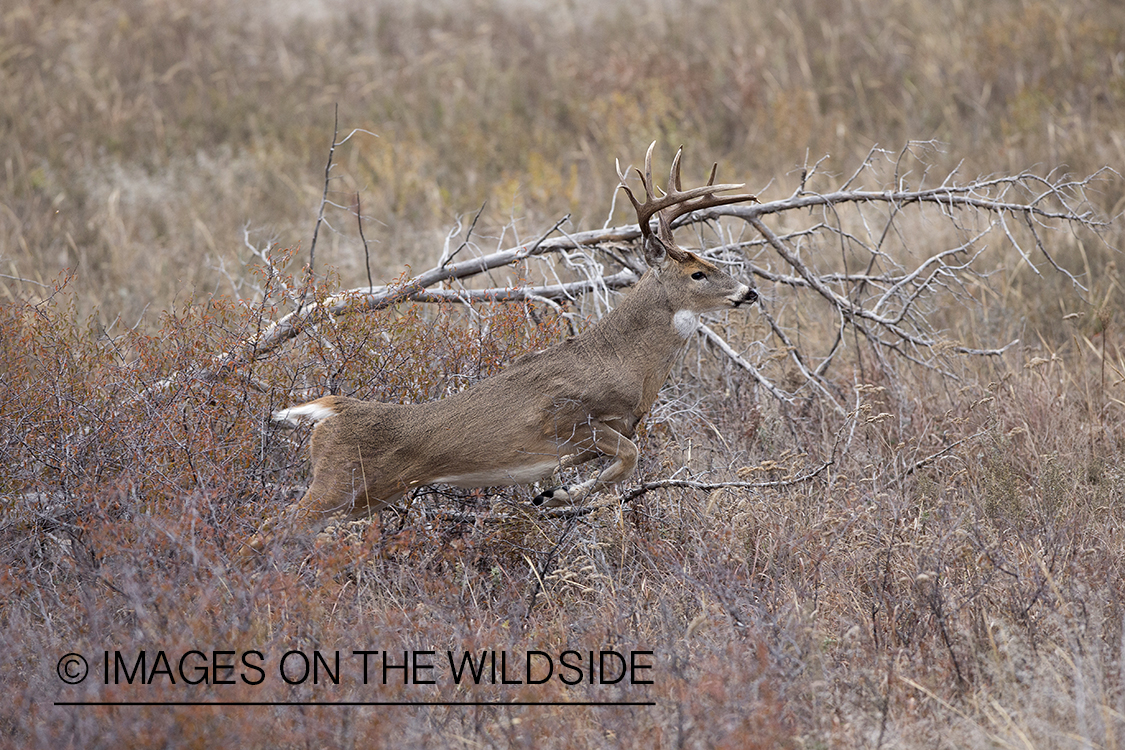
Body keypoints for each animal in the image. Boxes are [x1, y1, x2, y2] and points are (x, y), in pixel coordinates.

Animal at [245, 145, 756, 557]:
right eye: (698, 273)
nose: (749, 292)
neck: (622, 363)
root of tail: (331, 410)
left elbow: (620, 463)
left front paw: (553, 495)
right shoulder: (563, 419)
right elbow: (629, 456)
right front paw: (558, 495)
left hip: (358, 495)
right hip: (340, 484)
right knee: (269, 529)